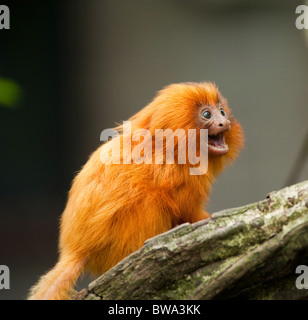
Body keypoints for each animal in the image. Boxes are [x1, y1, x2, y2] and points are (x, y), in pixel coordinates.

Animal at [27, 82, 243, 300]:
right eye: (207, 114)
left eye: (222, 112)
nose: (224, 122)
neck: (170, 146)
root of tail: (77, 249)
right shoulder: (179, 175)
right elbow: (185, 209)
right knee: (153, 201)